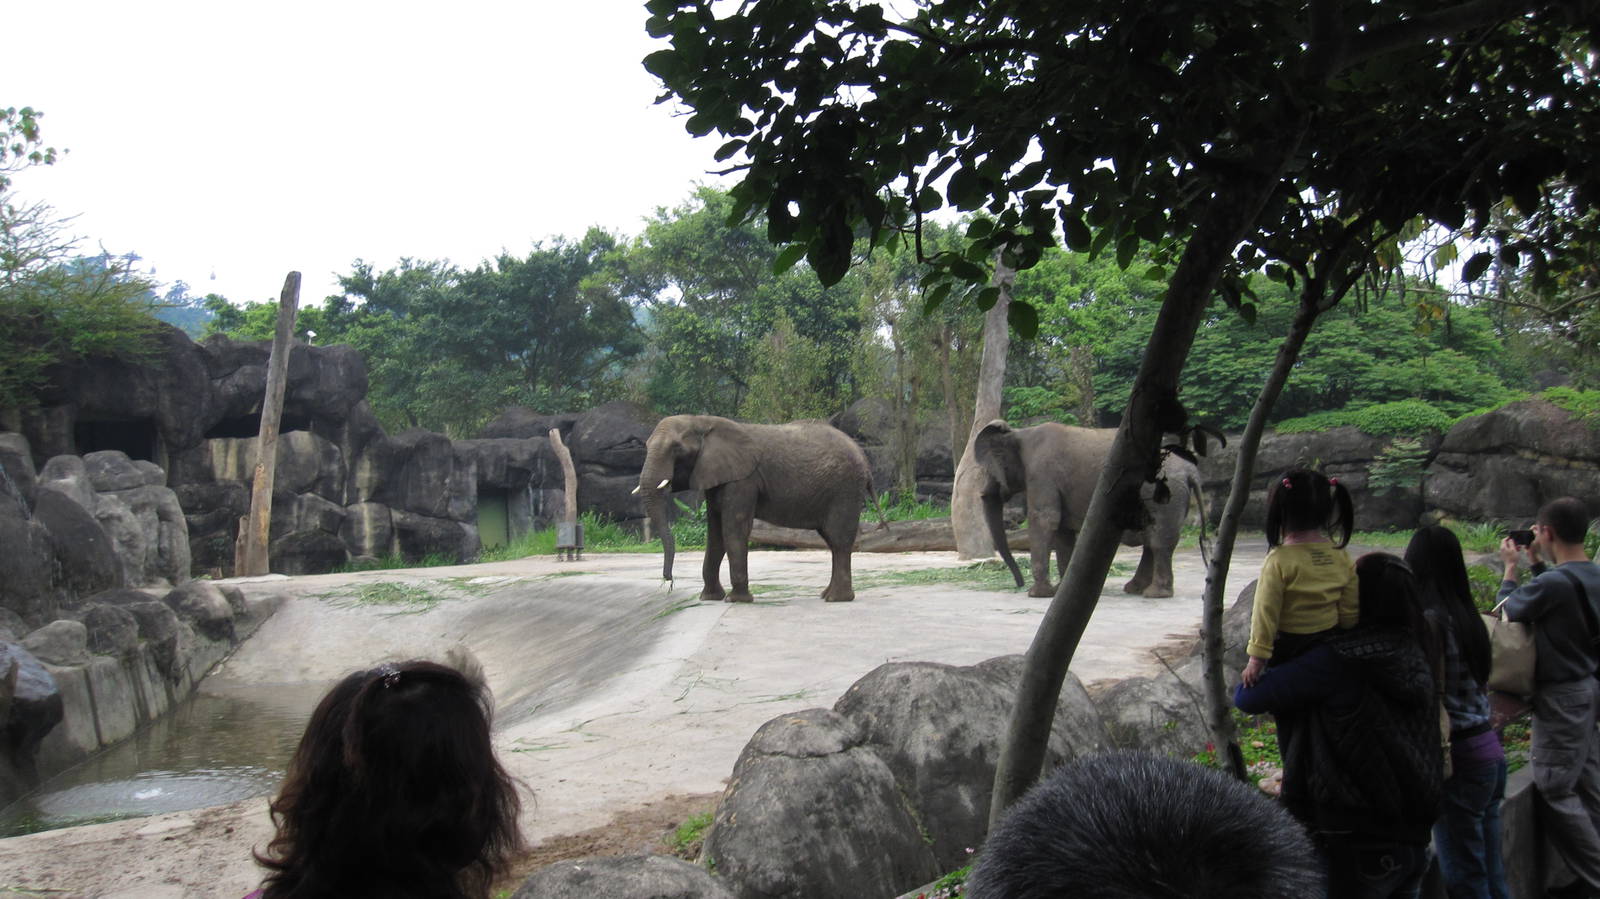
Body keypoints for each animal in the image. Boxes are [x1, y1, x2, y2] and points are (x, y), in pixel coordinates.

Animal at [635, 415, 874, 603]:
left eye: (676, 449)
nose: (668, 581)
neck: (702, 421)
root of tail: (863, 457)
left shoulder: (743, 480)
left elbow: (733, 530)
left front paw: (737, 600)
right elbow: (715, 534)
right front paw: (710, 598)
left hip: (845, 489)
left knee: (839, 541)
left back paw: (836, 599)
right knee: (832, 541)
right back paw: (826, 595)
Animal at [973, 420, 1205, 598]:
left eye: (988, 470)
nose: (1018, 584)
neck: (1020, 432)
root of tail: (1192, 471)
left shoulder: (1041, 473)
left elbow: (1045, 520)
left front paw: (1037, 594)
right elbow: (1063, 532)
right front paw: (1059, 591)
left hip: (1163, 493)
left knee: (1158, 540)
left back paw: (1154, 594)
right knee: (1152, 539)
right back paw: (1136, 589)